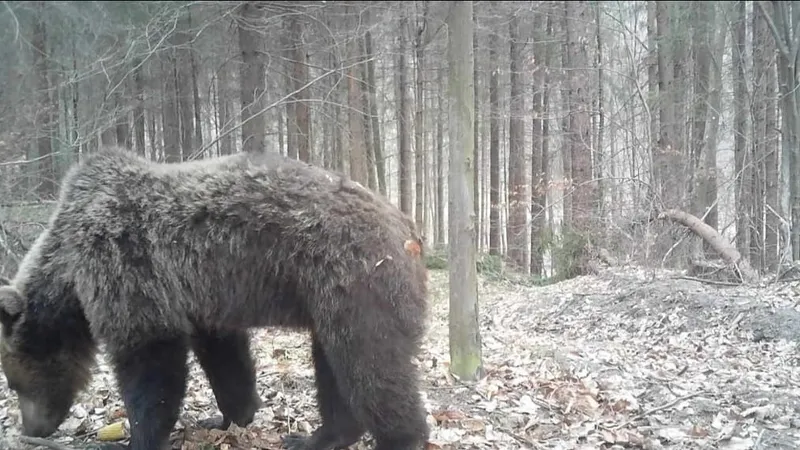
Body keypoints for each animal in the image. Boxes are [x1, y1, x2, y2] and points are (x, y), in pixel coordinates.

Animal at [0, 146, 432, 448]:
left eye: (13, 382)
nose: (32, 428)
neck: (69, 271)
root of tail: (407, 226)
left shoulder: (127, 266)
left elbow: (151, 362)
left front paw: (135, 438)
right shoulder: (204, 299)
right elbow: (226, 359)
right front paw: (227, 417)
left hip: (354, 282)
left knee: (372, 366)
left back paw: (400, 438)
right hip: (330, 303)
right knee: (334, 367)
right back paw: (315, 437)